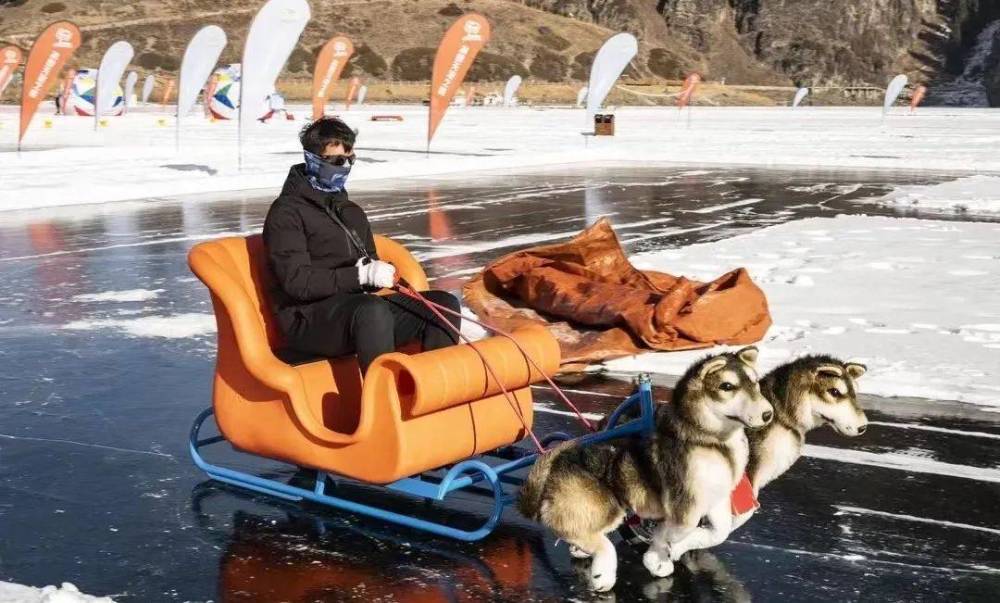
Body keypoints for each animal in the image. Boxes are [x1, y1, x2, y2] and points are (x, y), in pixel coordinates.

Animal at [520, 346, 768, 592]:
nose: (768, 414)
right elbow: (675, 531)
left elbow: (718, 533)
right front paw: (658, 555)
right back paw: (602, 574)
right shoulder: (685, 507)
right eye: (727, 386)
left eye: (755, 382)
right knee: (584, 536)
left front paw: (664, 555)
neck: (709, 442)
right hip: (603, 508)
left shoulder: (715, 499)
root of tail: (553, 465)